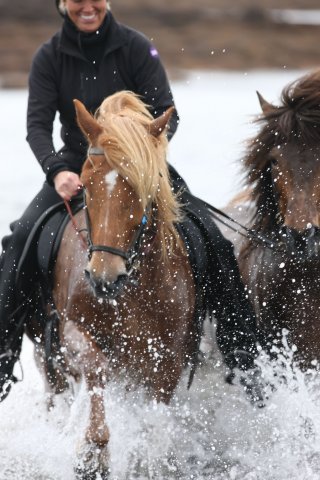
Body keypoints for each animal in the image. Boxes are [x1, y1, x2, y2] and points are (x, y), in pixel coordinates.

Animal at [36, 92, 196, 478]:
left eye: (139, 186)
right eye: (86, 183)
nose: (104, 278)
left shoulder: (169, 355)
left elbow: (154, 420)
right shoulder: (73, 329)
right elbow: (95, 367)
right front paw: (92, 454)